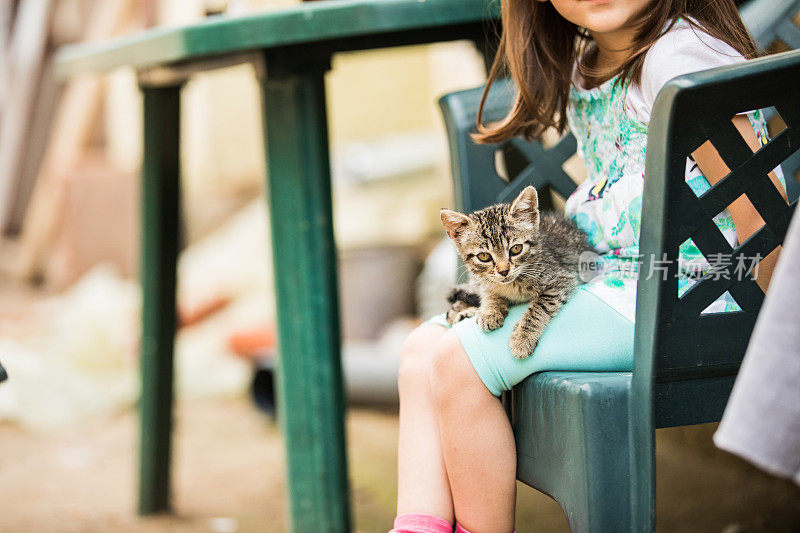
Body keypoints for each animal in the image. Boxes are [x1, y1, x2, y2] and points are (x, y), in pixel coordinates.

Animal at [440, 186, 592, 358]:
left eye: (516, 249)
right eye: (484, 256)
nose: (504, 271)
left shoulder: (563, 279)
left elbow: (540, 306)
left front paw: (522, 337)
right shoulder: (485, 282)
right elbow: (488, 293)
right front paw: (490, 310)